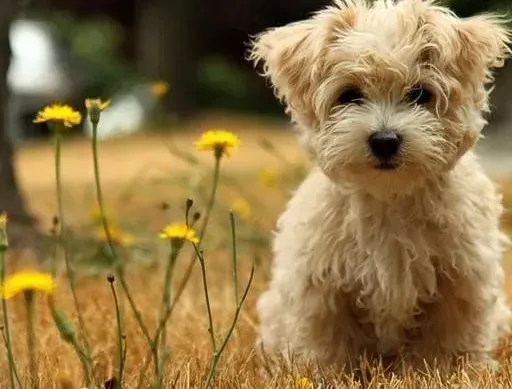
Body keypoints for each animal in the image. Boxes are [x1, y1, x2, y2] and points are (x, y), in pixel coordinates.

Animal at [251, 0, 512, 370]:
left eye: (420, 94)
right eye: (349, 95)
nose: (385, 140)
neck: (390, 197)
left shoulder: (464, 275)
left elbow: (451, 335)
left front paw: (448, 369)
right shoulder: (320, 281)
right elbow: (328, 338)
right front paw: (329, 372)